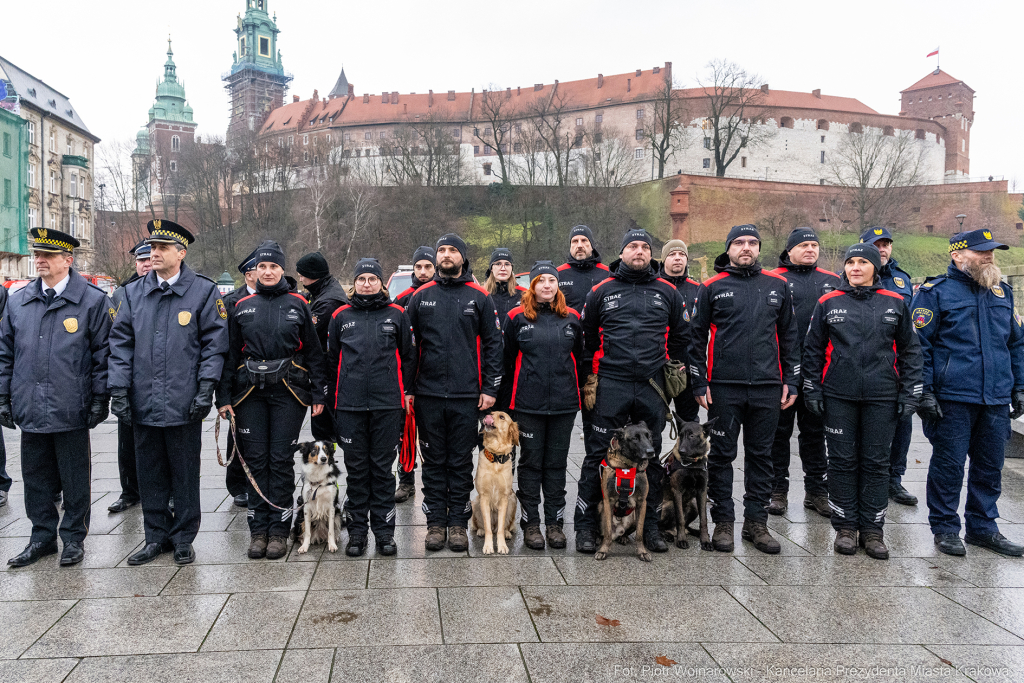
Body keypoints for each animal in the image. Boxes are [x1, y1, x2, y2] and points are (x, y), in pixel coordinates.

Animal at [471, 411, 520, 557]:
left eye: (502, 417)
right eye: (491, 413)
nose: (487, 415)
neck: (496, 457)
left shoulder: (504, 498)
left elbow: (500, 527)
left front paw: (502, 545)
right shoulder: (484, 497)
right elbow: (487, 527)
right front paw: (488, 546)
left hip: (512, 499)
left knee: (503, 526)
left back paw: (507, 533)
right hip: (475, 502)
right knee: (483, 526)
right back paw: (480, 531)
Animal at [593, 423, 655, 565]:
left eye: (649, 436)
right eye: (635, 438)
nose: (651, 452)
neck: (628, 465)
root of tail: (618, 530)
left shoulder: (641, 503)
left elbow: (639, 534)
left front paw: (642, 552)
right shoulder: (608, 501)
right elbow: (607, 532)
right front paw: (603, 550)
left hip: (633, 517)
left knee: (626, 532)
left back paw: (624, 537)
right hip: (600, 507)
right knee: (604, 533)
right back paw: (598, 539)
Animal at [659, 419, 716, 552]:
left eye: (692, 436)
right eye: (680, 435)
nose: (681, 451)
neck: (692, 464)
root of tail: (673, 530)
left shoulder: (702, 492)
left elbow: (704, 519)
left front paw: (705, 541)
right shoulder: (677, 491)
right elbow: (680, 518)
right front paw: (681, 540)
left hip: (693, 504)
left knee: (686, 526)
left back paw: (695, 532)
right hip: (669, 505)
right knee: (661, 526)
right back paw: (667, 535)